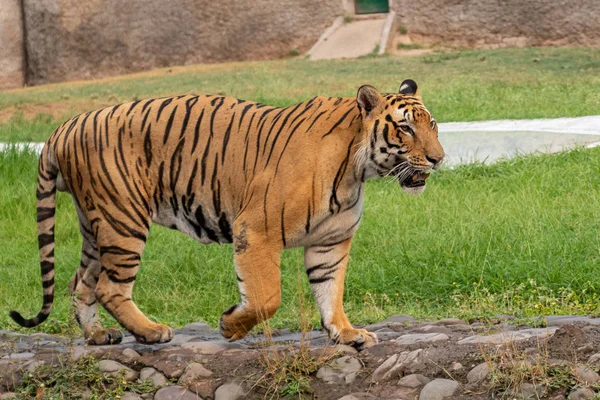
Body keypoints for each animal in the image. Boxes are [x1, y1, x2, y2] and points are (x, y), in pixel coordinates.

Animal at [7, 79, 442, 348]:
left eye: (434, 126)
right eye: (405, 129)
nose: (439, 159)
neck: (357, 170)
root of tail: (62, 128)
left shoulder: (330, 242)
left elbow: (330, 291)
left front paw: (347, 333)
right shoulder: (257, 229)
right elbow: (266, 297)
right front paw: (230, 326)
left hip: (96, 226)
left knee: (80, 283)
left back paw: (99, 337)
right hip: (123, 221)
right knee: (108, 287)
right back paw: (152, 332)